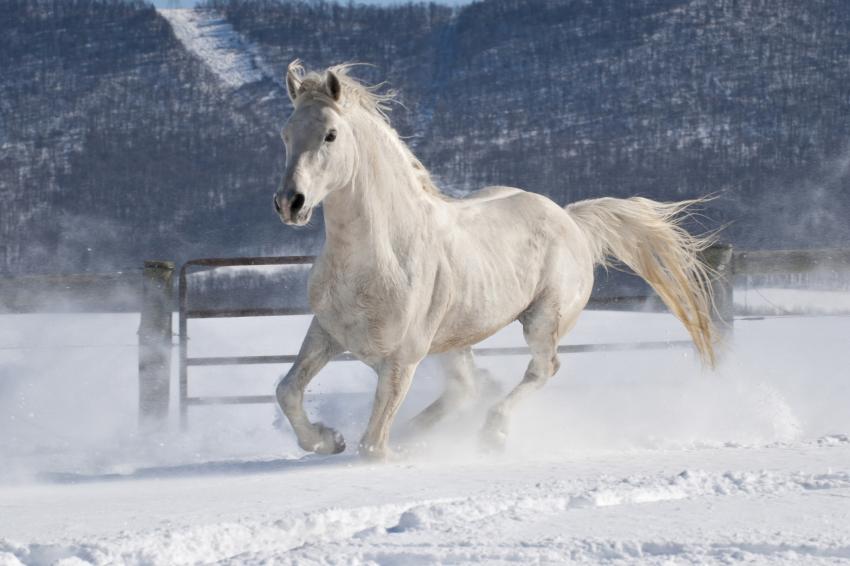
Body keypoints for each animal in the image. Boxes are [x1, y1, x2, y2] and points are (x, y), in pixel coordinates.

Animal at [272, 61, 717, 460]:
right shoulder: (326, 333)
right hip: (453, 339)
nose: (290, 203)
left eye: (330, 135)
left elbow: (372, 447)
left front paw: (356, 444)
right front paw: (327, 440)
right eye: (286, 133)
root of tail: (570, 219)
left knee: (541, 369)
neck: (380, 256)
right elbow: (287, 390)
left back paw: (492, 432)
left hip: (541, 321)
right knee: (466, 388)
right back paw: (421, 438)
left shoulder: (401, 361)